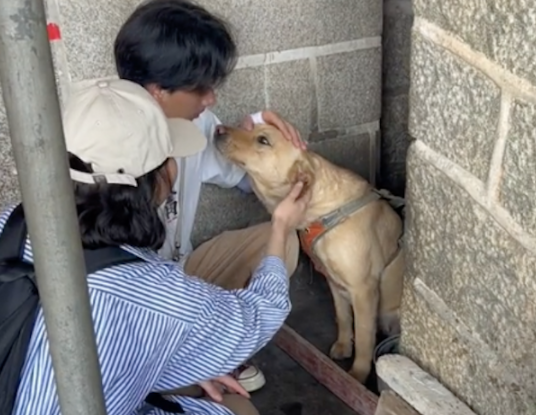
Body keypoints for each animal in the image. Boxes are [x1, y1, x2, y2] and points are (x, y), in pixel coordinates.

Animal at [213, 123, 402, 384]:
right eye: (245, 126)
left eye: (263, 140)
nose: (218, 129)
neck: (325, 211)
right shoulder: (334, 282)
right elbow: (343, 318)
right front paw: (344, 345)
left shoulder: (364, 289)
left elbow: (364, 337)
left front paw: (357, 374)